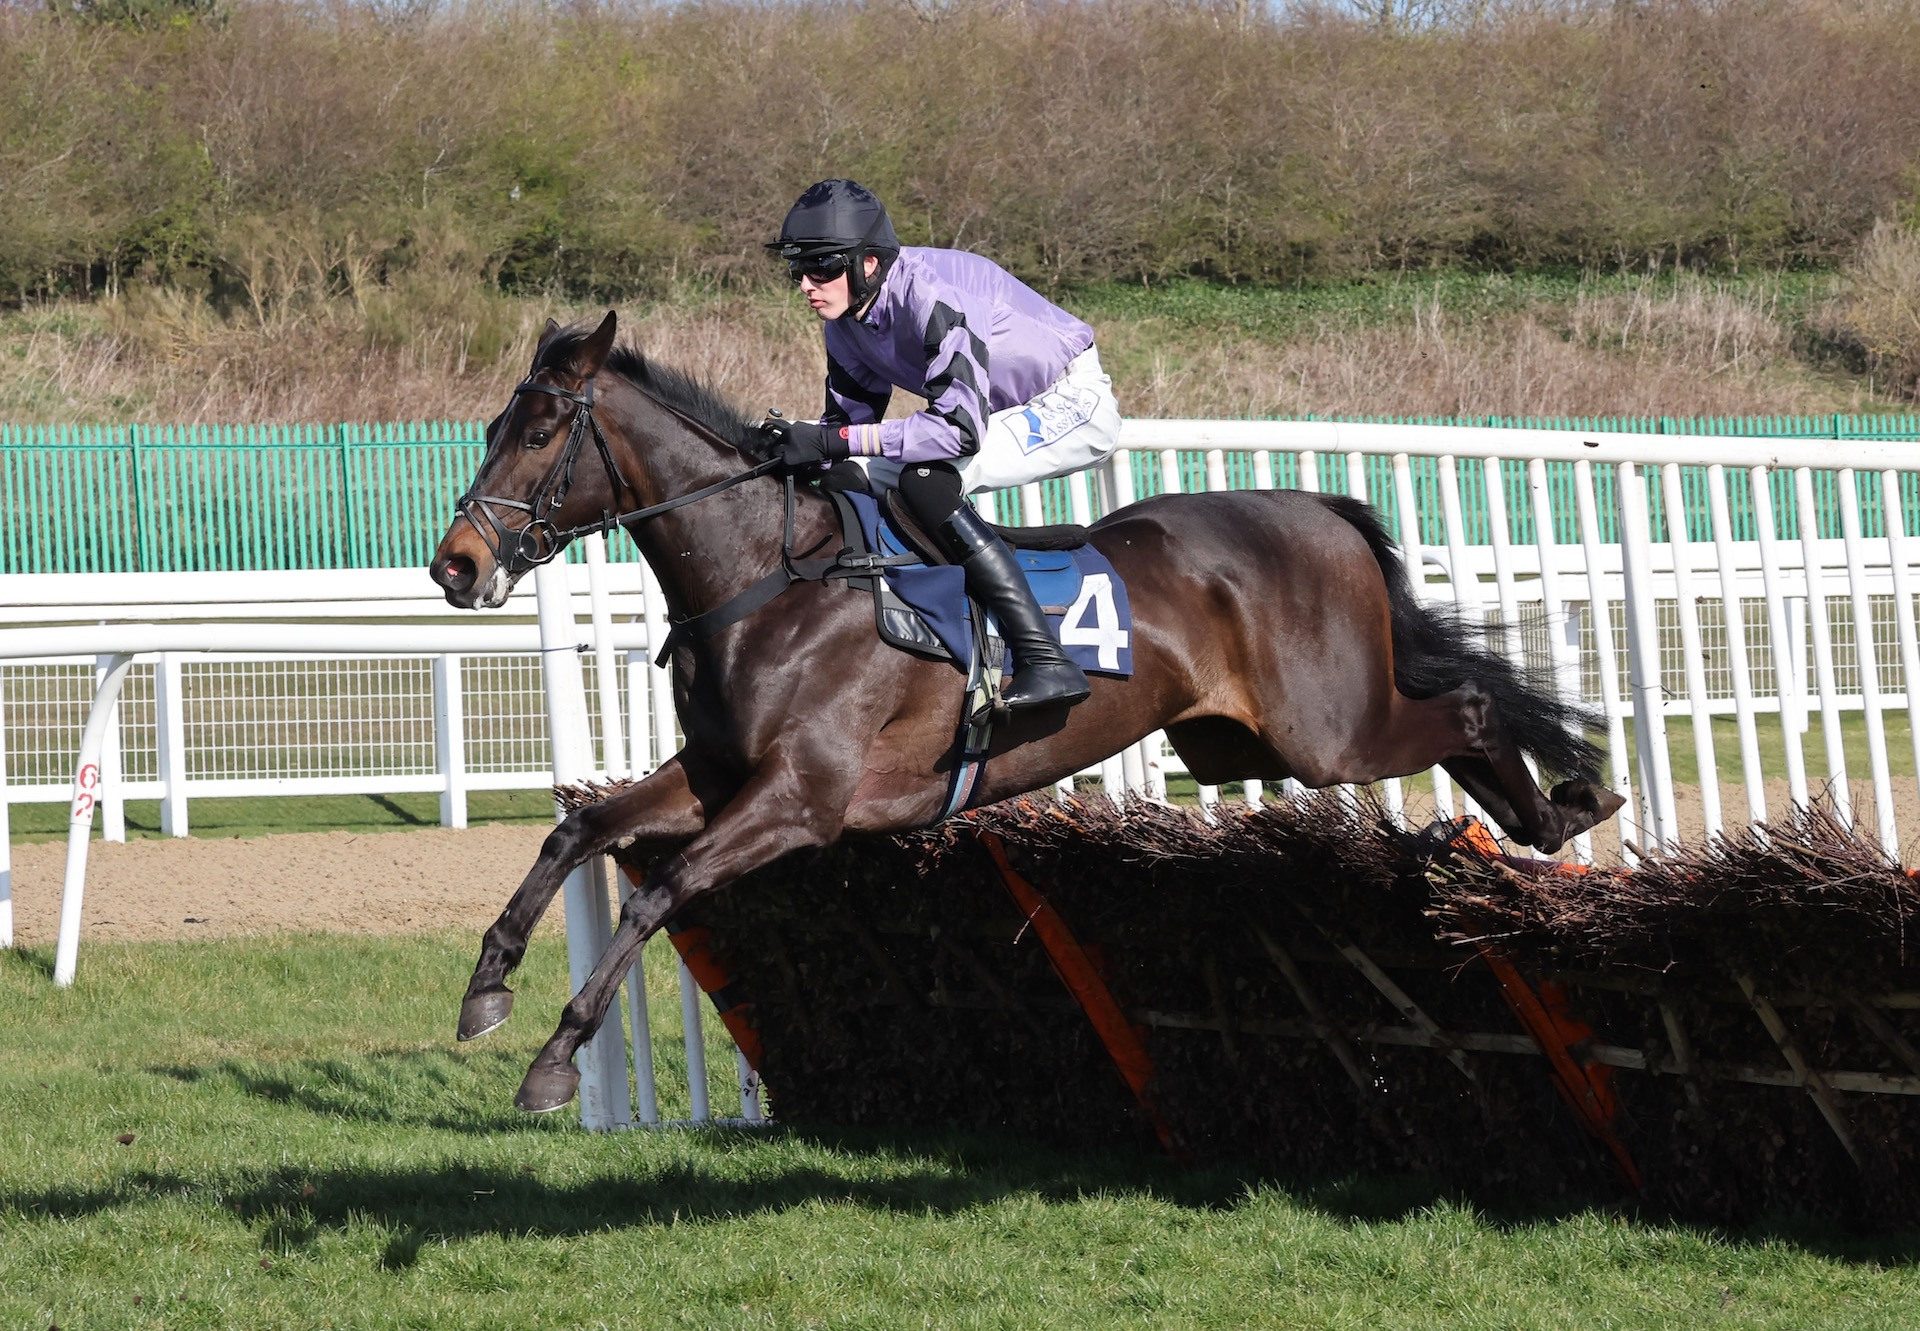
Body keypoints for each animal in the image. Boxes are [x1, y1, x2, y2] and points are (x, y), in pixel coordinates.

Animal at [424, 311, 1620, 1113]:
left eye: (542, 430)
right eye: (492, 424)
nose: (456, 564)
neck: (771, 574)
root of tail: (1315, 506)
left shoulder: (801, 800)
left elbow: (658, 888)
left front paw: (554, 1058)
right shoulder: (718, 776)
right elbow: (579, 828)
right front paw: (486, 988)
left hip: (1329, 732)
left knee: (1471, 708)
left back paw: (1567, 805)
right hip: (1245, 736)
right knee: (1463, 709)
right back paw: (1549, 818)